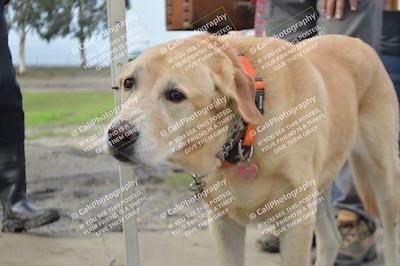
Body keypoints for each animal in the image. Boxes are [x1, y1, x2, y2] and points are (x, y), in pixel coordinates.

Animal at [106, 33, 400, 266]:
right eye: (129, 83)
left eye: (176, 95)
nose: (118, 135)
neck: (244, 137)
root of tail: (359, 42)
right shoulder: (224, 224)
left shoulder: (297, 220)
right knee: (332, 239)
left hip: (382, 173)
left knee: (390, 233)